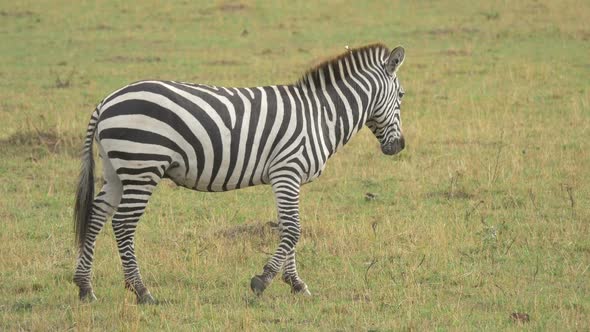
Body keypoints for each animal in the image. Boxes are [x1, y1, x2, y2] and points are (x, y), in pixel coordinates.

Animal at [74, 43, 408, 304]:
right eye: (402, 95)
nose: (400, 146)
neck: (322, 115)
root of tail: (106, 101)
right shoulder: (288, 170)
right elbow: (293, 230)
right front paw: (263, 281)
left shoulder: (287, 177)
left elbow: (287, 228)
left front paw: (295, 284)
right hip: (142, 165)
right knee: (123, 224)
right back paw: (141, 292)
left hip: (117, 169)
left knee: (96, 215)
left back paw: (85, 287)